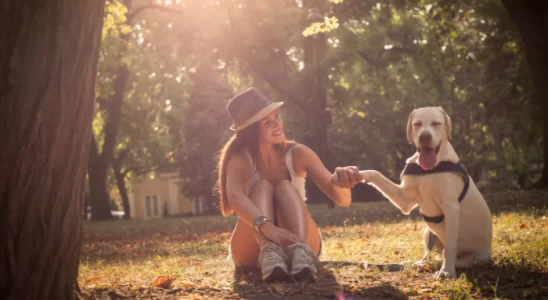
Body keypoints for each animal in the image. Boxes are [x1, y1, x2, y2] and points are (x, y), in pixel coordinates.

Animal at [360, 107, 492, 278]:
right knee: (432, 253)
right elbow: (376, 173)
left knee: (457, 258)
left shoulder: (451, 208)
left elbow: (449, 247)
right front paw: (356, 174)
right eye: (417, 124)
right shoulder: (405, 201)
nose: (424, 136)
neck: (430, 169)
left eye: (436, 123)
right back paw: (420, 263)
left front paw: (446, 271)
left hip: (477, 256)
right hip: (428, 232)